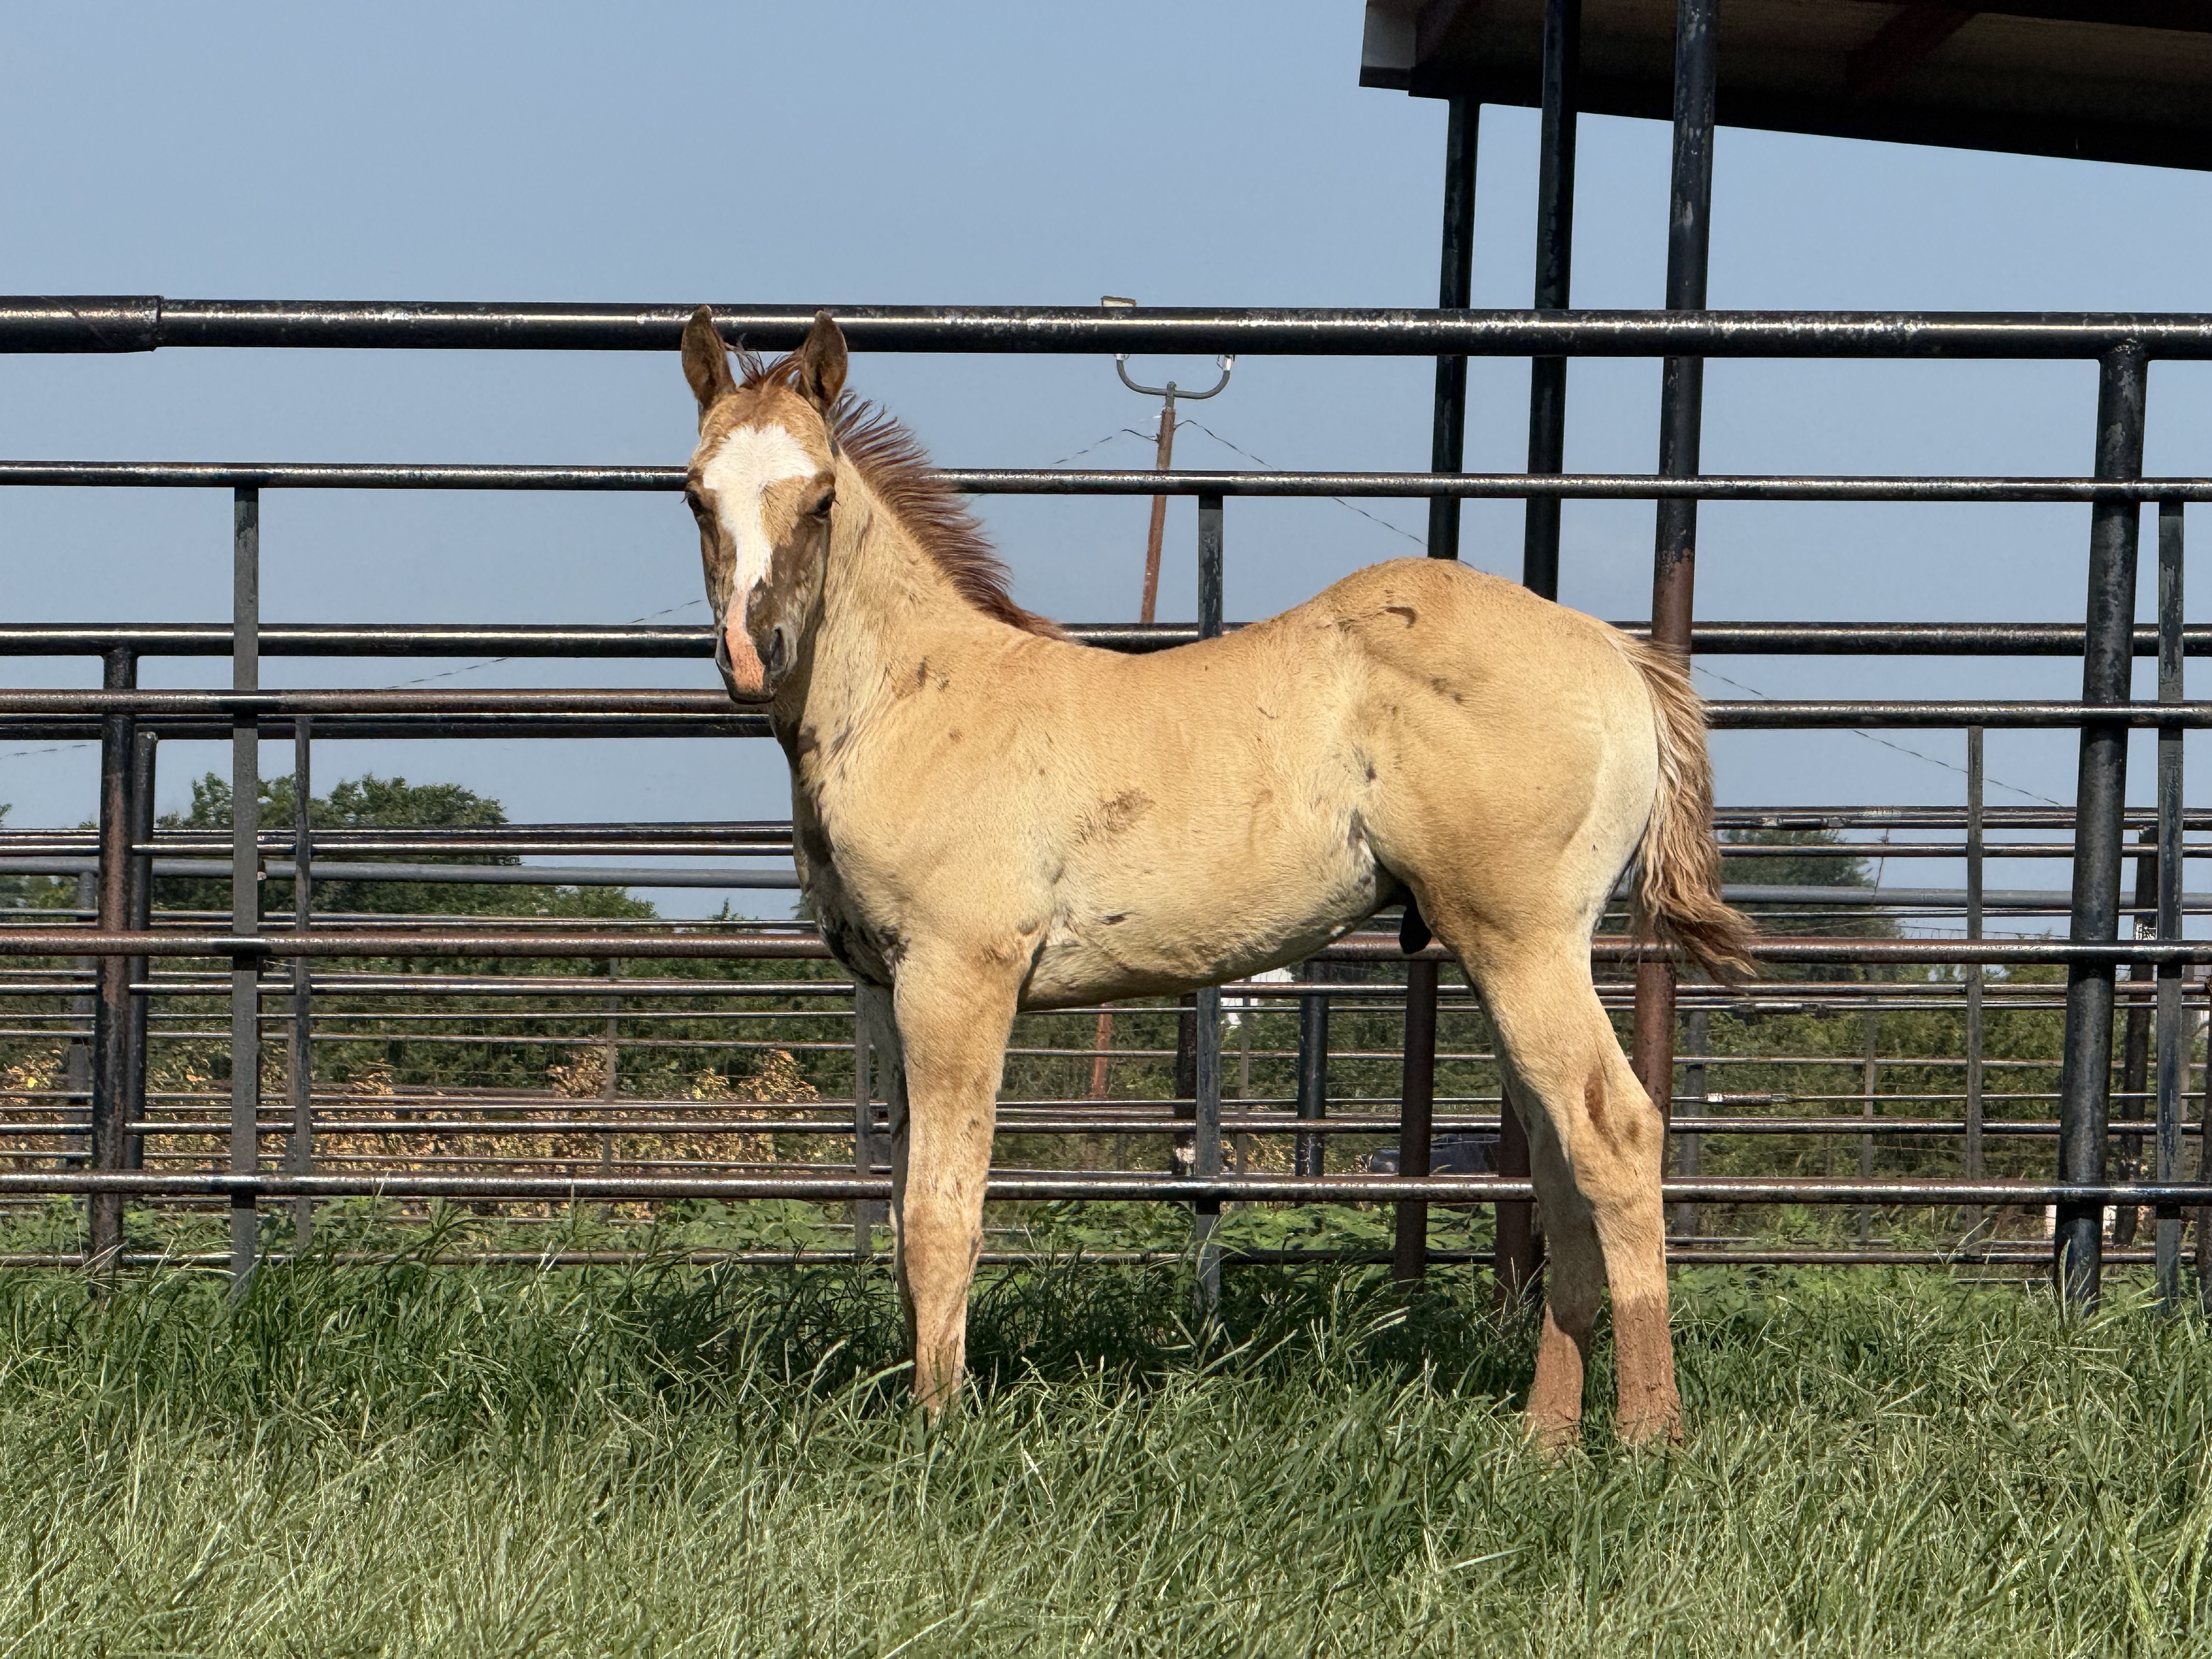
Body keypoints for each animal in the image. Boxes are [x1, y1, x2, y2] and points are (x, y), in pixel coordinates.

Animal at [677, 306, 1754, 1445]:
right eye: (694, 492)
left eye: (821, 497)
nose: (752, 653)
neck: (911, 697)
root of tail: (1617, 652)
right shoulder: (887, 990)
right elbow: (897, 1209)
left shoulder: (959, 975)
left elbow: (942, 1211)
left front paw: (941, 1429)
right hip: (1504, 952)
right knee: (1556, 1160)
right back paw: (1543, 1436)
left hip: (1526, 941)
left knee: (1616, 1133)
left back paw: (1648, 1433)